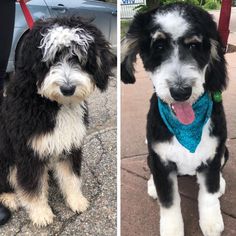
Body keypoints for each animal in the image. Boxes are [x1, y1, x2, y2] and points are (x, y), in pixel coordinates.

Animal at [0, 15, 116, 226]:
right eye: (51, 60)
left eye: (78, 57)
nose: (68, 88)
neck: (53, 104)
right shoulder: (29, 151)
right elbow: (33, 186)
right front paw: (40, 212)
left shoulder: (69, 143)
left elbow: (70, 176)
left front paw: (76, 200)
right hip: (6, 159)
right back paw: (10, 198)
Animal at [121, 3, 229, 236]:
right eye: (158, 46)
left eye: (195, 45)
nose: (181, 92)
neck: (187, 130)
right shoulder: (161, 161)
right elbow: (169, 202)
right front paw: (172, 229)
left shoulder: (213, 156)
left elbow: (208, 194)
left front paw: (211, 222)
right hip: (151, 156)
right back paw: (152, 186)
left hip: (225, 151)